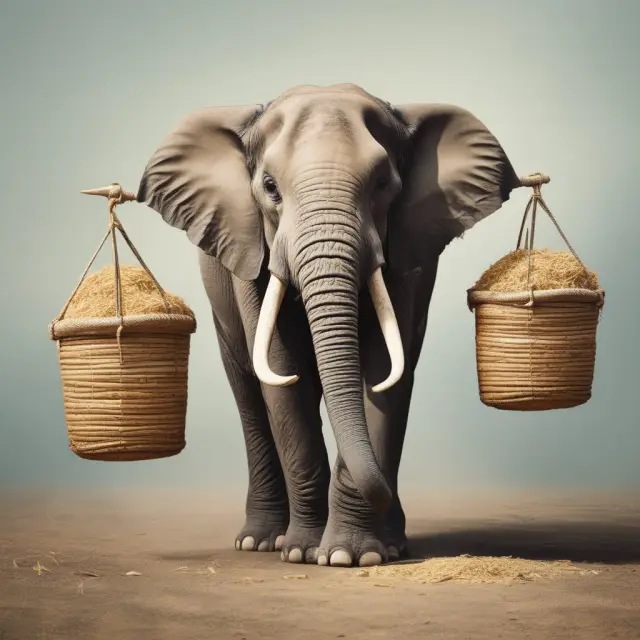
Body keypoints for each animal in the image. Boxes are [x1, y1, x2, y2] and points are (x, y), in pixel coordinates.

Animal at [137, 83, 521, 568]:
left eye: (383, 185)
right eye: (269, 187)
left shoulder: (404, 252)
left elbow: (383, 372)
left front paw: (352, 556)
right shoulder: (250, 248)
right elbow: (283, 375)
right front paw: (303, 552)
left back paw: (387, 543)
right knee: (249, 394)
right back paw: (260, 541)